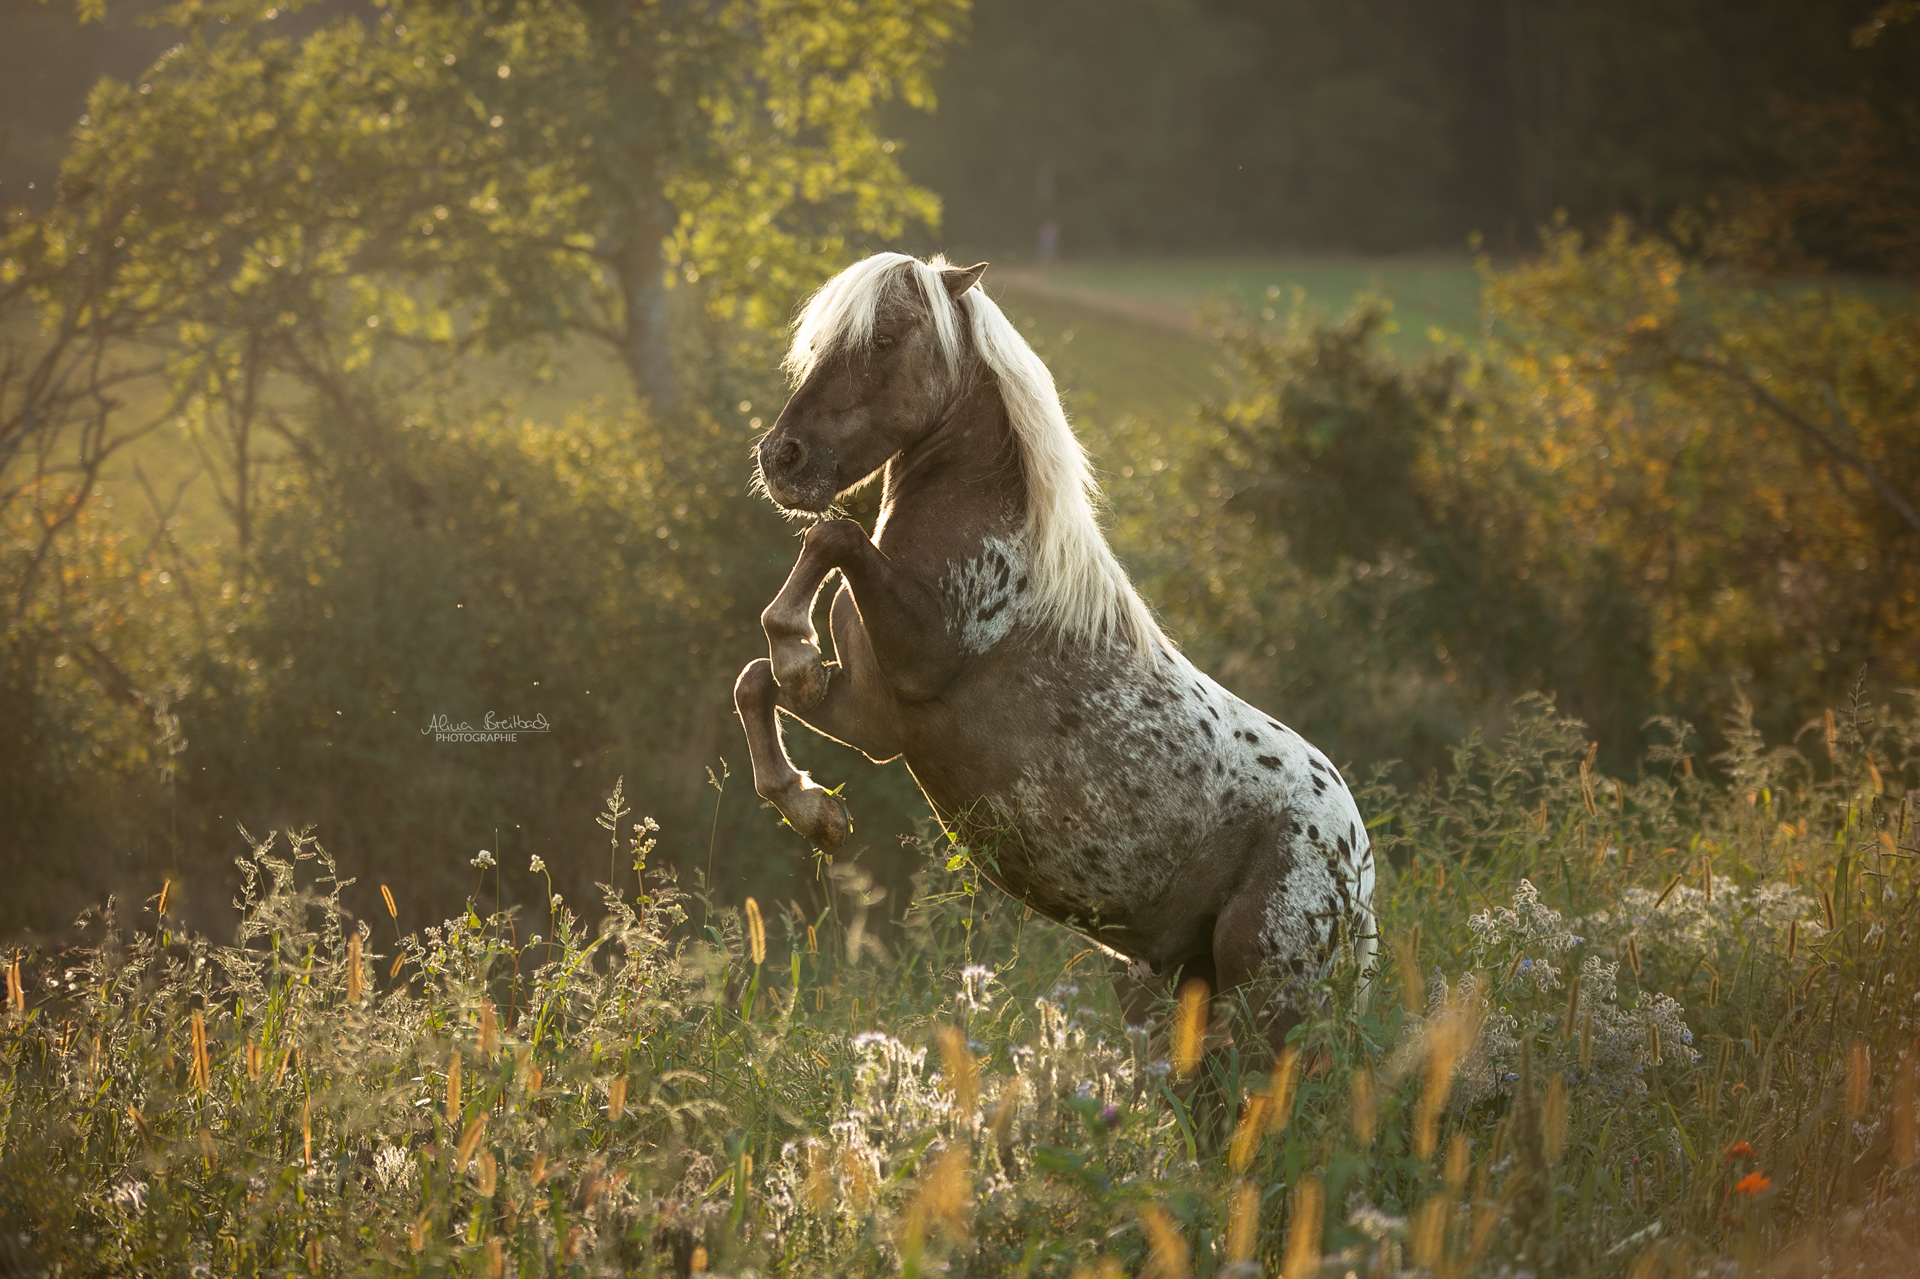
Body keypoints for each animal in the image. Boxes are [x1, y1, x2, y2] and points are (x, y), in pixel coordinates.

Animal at [731, 252, 1377, 1048]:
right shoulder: (877, 719)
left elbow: (831, 536)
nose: (781, 457)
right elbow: (756, 680)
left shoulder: (918, 661)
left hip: (1271, 1000)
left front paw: (794, 646)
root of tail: (1358, 859)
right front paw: (816, 809)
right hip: (1170, 993)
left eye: (884, 338)